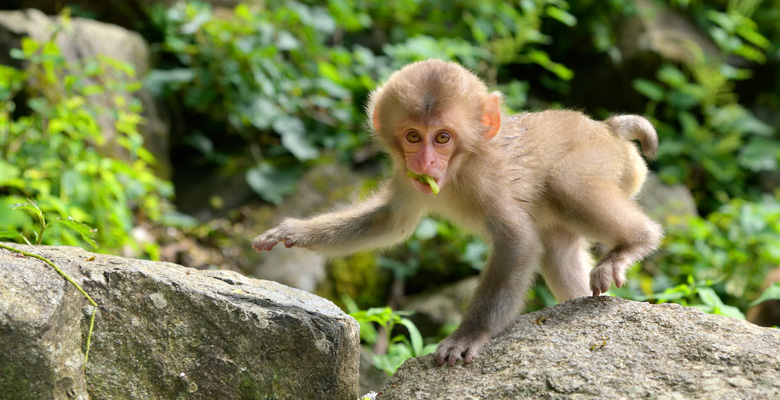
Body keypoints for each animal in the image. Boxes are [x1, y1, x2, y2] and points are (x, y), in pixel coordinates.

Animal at [251, 57, 664, 368]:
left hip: (608, 161)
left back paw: (635, 242)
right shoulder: (408, 178)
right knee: (557, 243)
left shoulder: (487, 179)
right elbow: (390, 220)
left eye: (443, 138)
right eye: (413, 136)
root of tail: (607, 128)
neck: (460, 167)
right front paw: (295, 231)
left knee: (566, 183)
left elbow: (517, 241)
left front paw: (469, 335)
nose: (425, 162)